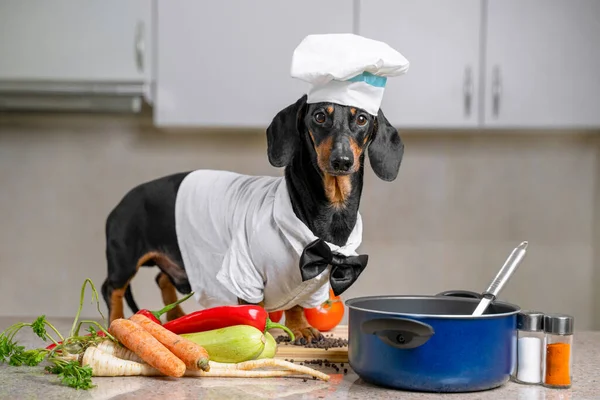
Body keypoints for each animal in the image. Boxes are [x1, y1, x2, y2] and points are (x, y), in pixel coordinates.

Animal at [102, 95, 404, 342]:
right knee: (112, 289)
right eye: (319, 116)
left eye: (362, 119)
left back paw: (175, 316)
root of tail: (122, 202)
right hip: (125, 259)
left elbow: (296, 304)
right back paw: (116, 322)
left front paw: (299, 328)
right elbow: (253, 308)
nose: (342, 161)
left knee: (162, 279)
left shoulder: (305, 279)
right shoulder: (244, 272)